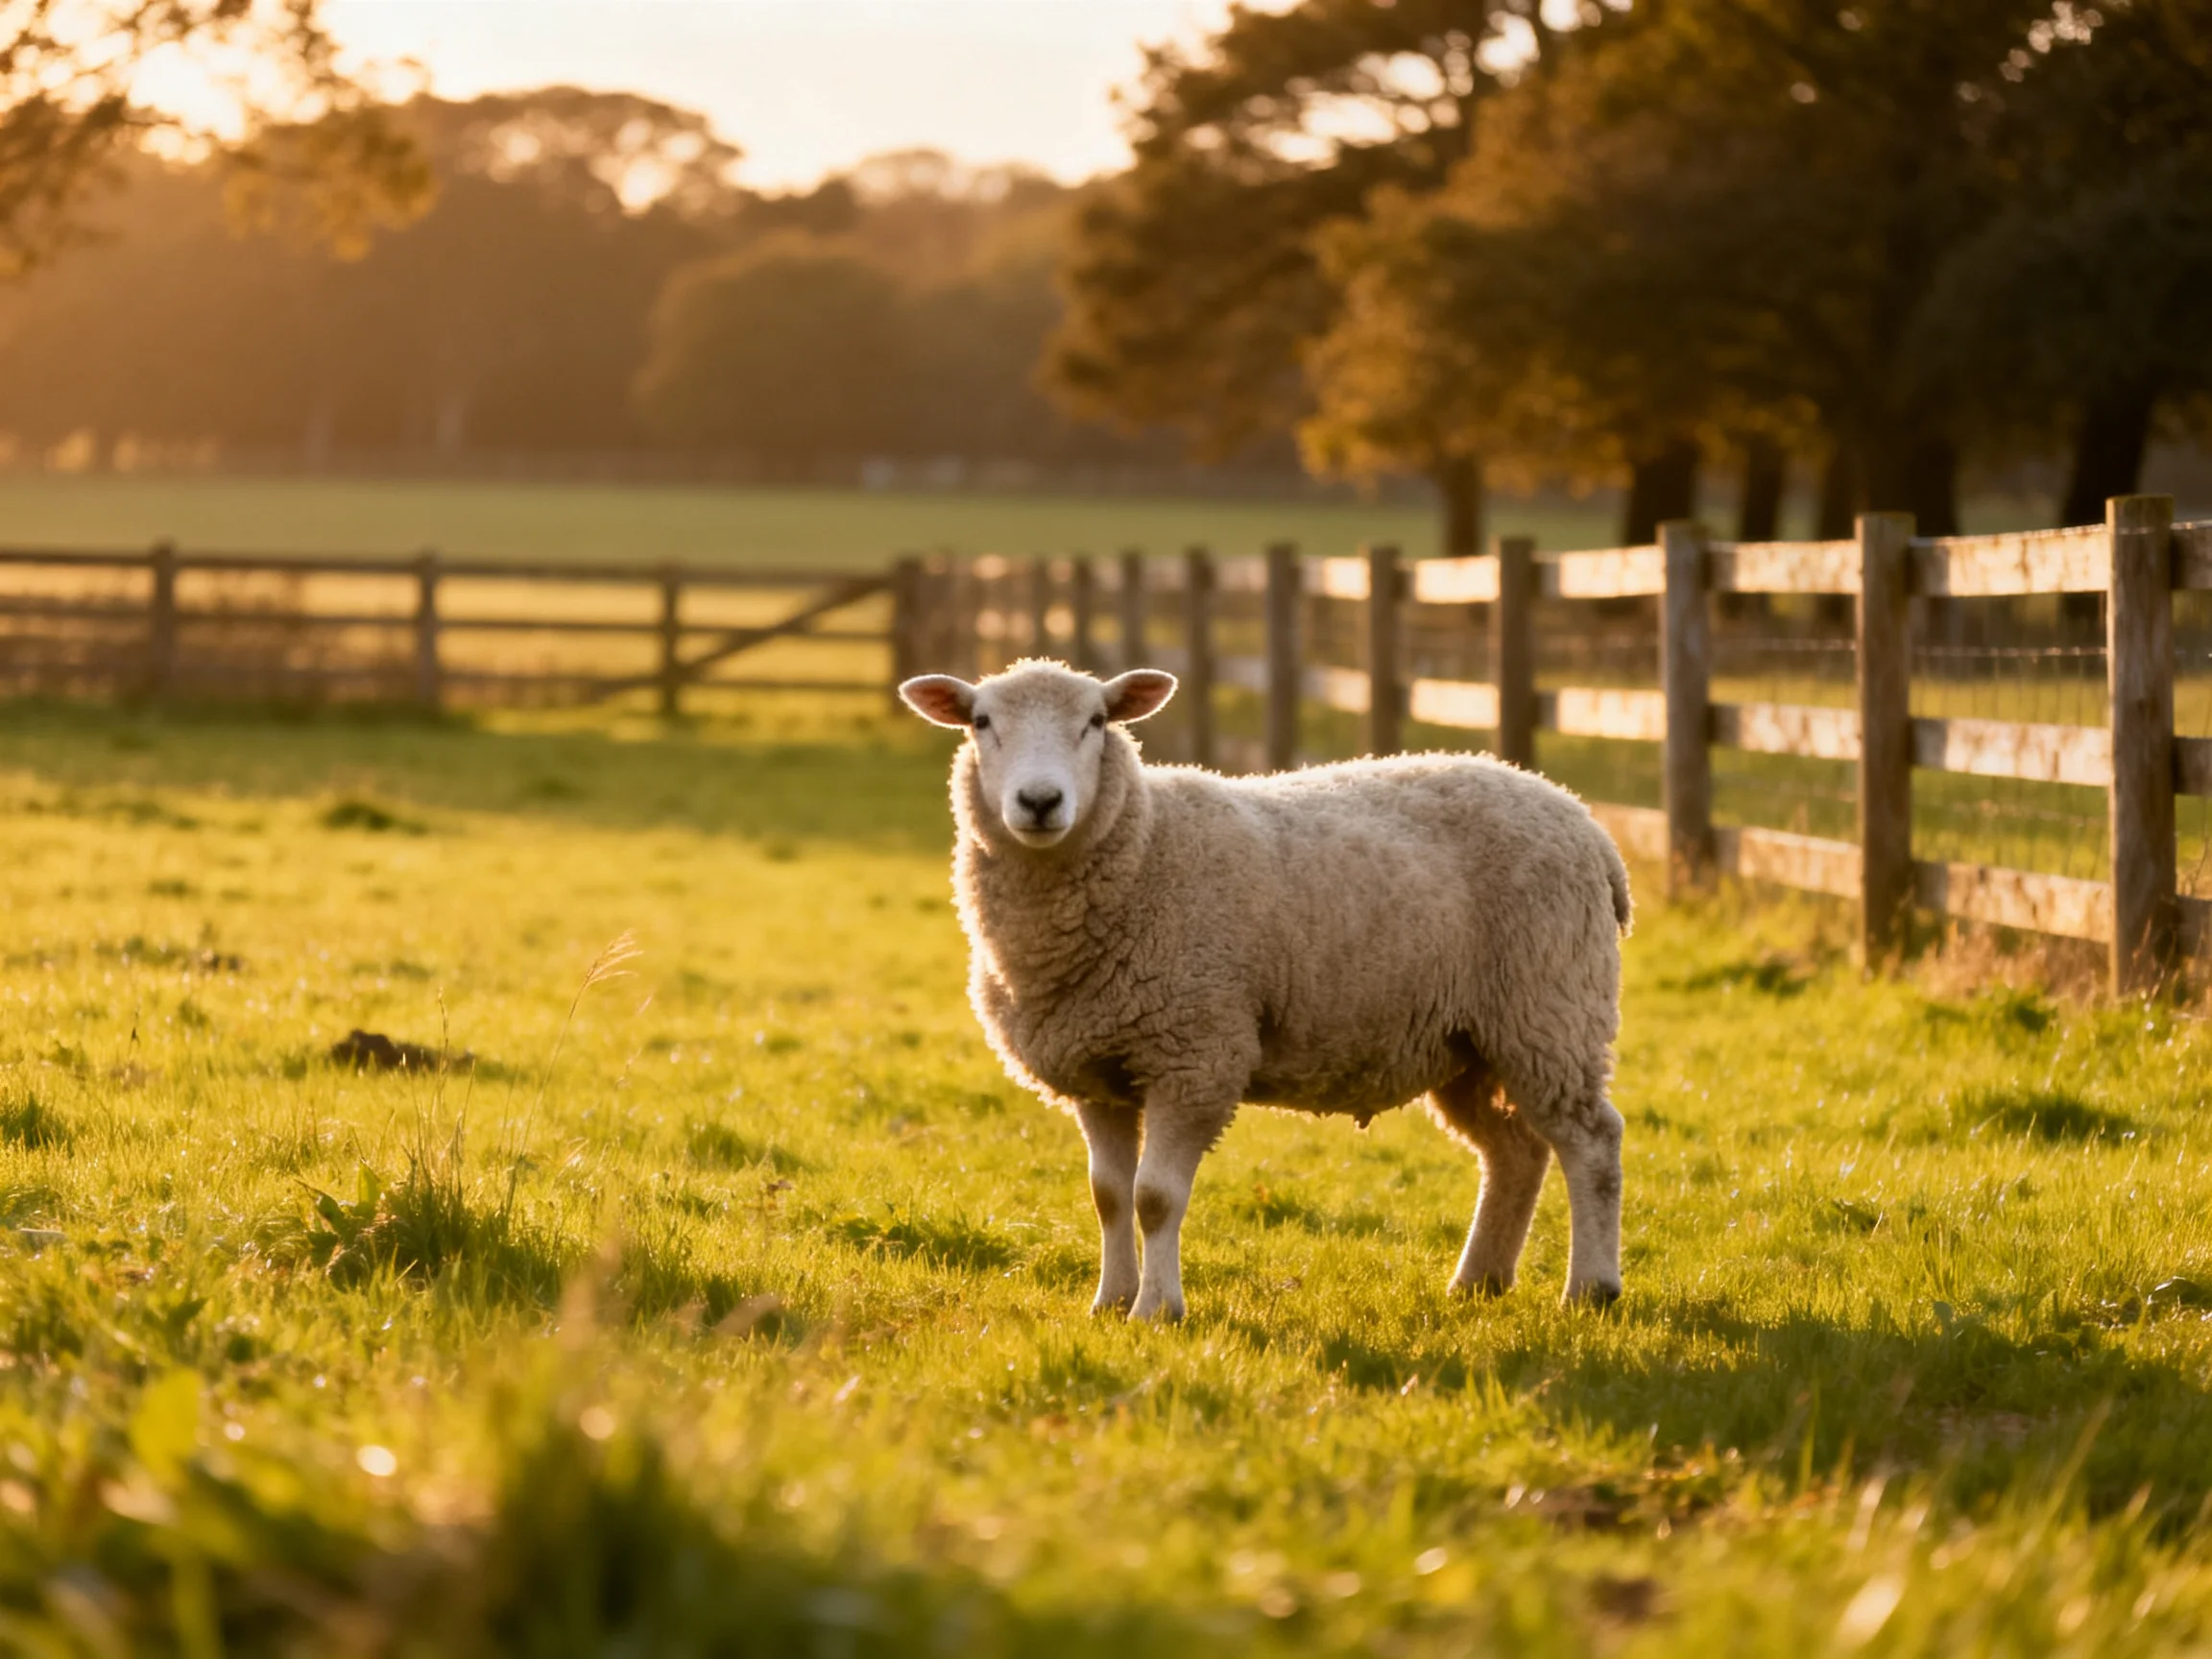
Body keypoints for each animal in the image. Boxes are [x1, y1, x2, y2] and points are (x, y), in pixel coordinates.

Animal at [899, 658, 1633, 1323]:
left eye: (1097, 722)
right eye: (981, 722)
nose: (1040, 802)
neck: (1146, 847)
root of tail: (1585, 823)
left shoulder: (1195, 1057)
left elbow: (1154, 1197)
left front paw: (1156, 1310)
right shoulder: (1098, 1070)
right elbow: (1108, 1194)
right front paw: (1109, 1302)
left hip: (1550, 1007)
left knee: (1591, 1142)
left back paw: (1589, 1290)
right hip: (1470, 1041)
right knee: (1515, 1152)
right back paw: (1478, 1282)